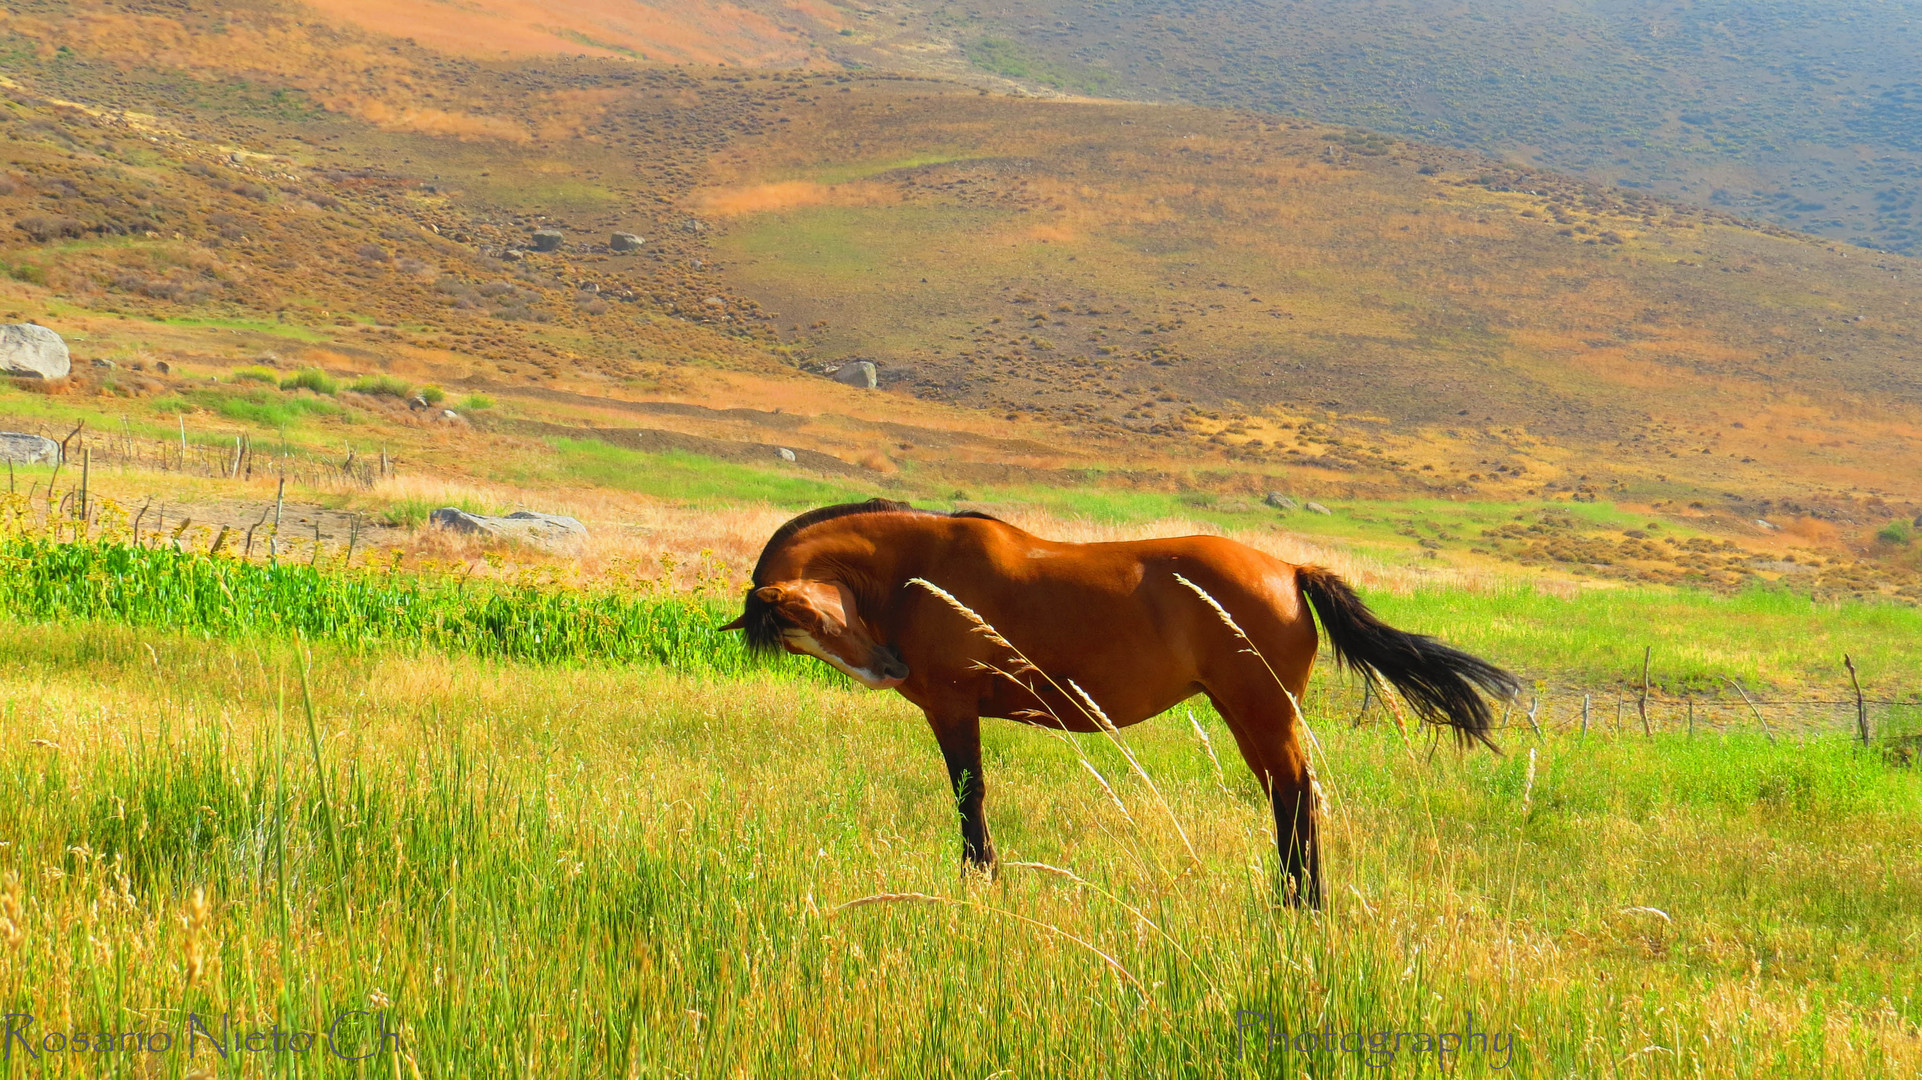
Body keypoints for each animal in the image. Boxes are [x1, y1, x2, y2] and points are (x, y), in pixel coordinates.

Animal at [722, 499, 1514, 903]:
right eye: (798, 633)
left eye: (811, 612)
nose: (888, 668)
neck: (923, 569)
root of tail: (1288, 569)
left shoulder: (952, 708)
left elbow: (969, 796)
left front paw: (982, 881)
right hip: (1249, 713)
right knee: (1288, 799)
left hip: (1260, 711)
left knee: (1294, 798)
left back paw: (1300, 905)